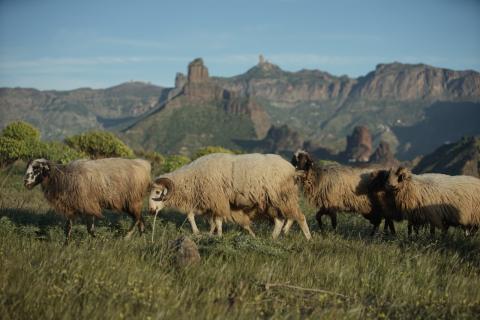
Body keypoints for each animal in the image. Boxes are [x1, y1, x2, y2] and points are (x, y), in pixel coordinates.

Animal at [23, 158, 151, 242]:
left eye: (36, 169)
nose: (26, 183)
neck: (62, 178)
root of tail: (143, 165)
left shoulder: (89, 205)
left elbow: (90, 229)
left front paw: (101, 241)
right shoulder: (73, 206)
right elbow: (68, 227)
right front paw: (66, 244)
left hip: (132, 201)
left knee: (137, 219)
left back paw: (127, 236)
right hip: (129, 203)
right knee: (141, 219)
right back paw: (141, 238)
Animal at [151, 153, 316, 240]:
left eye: (158, 192)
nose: (151, 211)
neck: (192, 177)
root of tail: (292, 169)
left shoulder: (217, 199)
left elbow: (217, 220)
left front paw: (218, 236)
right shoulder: (207, 202)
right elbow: (196, 217)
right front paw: (205, 233)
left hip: (283, 197)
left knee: (299, 217)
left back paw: (308, 238)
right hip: (271, 202)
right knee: (280, 220)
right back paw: (272, 238)